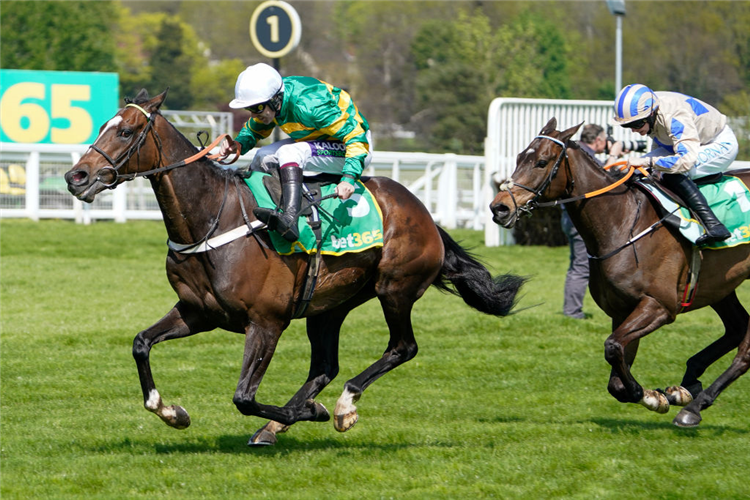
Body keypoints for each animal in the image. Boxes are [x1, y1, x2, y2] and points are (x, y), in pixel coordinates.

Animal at [63, 90, 528, 446]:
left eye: (125, 131)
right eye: (103, 126)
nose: (76, 176)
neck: (213, 216)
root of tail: (426, 216)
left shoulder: (266, 322)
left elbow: (244, 397)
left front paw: (315, 412)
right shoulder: (199, 312)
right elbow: (141, 343)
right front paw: (171, 411)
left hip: (395, 290)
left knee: (401, 348)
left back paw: (340, 407)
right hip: (329, 306)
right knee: (324, 366)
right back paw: (280, 423)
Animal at [490, 116, 748, 426]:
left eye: (541, 162)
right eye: (518, 158)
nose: (499, 207)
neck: (622, 222)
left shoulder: (659, 305)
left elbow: (612, 348)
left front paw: (652, 396)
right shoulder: (623, 310)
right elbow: (616, 375)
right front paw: (658, 395)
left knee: (745, 352)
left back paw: (694, 406)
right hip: (720, 286)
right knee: (737, 327)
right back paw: (689, 386)